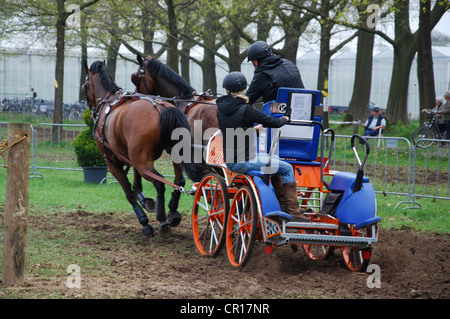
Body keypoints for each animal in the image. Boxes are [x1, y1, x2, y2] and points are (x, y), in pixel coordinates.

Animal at [82, 60, 197, 240]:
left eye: (84, 86)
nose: (90, 108)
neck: (108, 101)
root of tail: (160, 108)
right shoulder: (131, 158)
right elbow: (137, 186)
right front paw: (146, 201)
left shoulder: (112, 163)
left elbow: (129, 192)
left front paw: (144, 222)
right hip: (169, 154)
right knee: (179, 181)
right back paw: (172, 212)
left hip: (143, 163)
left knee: (159, 183)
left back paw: (162, 220)